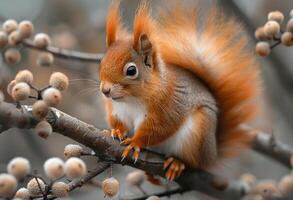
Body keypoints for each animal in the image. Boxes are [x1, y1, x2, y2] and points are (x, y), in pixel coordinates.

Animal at [99, 0, 258, 181]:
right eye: (102, 62)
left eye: (131, 71)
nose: (105, 90)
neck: (131, 100)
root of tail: (213, 154)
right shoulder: (117, 110)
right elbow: (118, 122)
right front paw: (117, 130)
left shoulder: (169, 108)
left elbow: (157, 130)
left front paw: (134, 143)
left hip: (198, 134)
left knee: (192, 161)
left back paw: (177, 163)